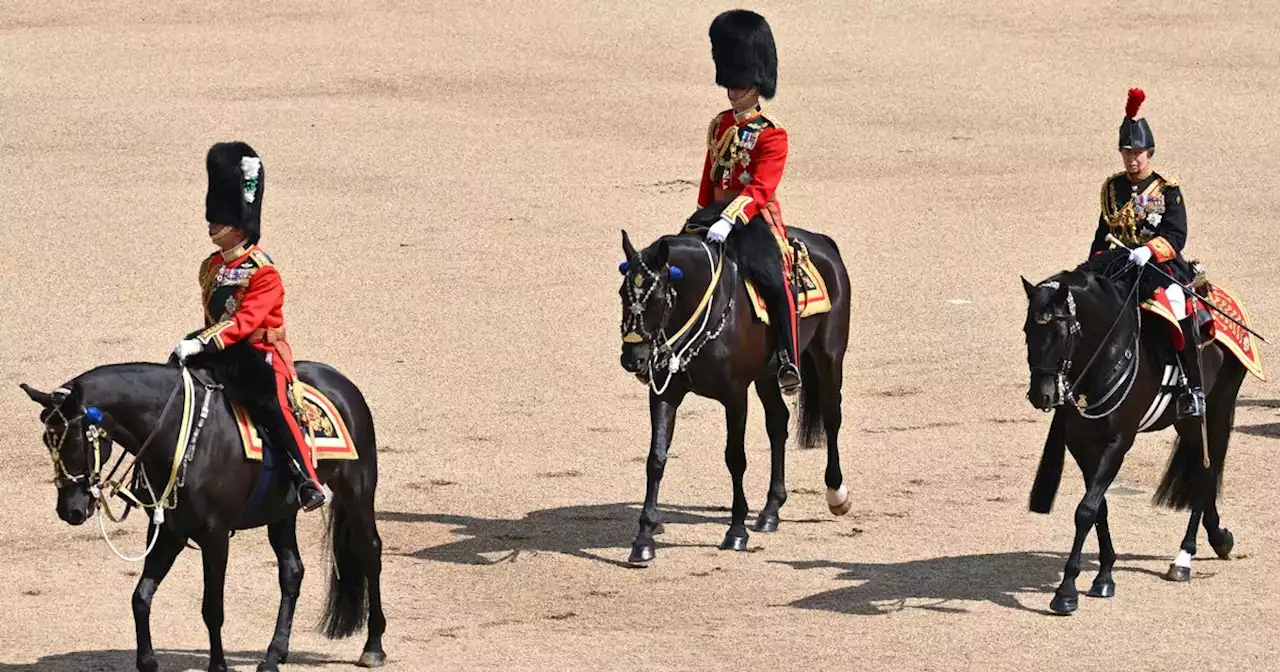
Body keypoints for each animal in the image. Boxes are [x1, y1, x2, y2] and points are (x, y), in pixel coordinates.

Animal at [22, 358, 384, 670]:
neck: (177, 435)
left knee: (369, 551)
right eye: (46, 439)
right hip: (281, 512)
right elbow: (141, 596)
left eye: (77, 438)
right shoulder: (169, 531)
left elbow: (212, 608)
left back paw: (373, 647)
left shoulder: (215, 536)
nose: (70, 509)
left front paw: (218, 665)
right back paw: (273, 655)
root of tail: (337, 379)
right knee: (292, 571)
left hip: (357, 489)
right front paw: (147, 661)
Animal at [616, 202, 855, 563]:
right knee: (778, 422)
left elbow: (735, 458)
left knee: (831, 416)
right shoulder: (665, 392)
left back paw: (836, 493)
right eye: (621, 293)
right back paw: (771, 510)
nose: (633, 359)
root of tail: (824, 242)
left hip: (829, 357)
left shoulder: (735, 395)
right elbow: (655, 458)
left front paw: (736, 531)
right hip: (768, 375)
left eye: (656, 298)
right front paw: (643, 538)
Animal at [1018, 249, 1239, 611]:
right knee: (1200, 469)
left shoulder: (1117, 442)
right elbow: (1099, 507)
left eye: (1060, 334)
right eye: (1027, 331)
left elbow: (1086, 510)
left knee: (1208, 470)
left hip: (1213, 409)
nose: (1042, 395)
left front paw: (1066, 590)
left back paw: (1184, 557)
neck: (1101, 356)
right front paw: (1104, 575)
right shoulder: (1082, 443)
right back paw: (1218, 538)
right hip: (1186, 423)